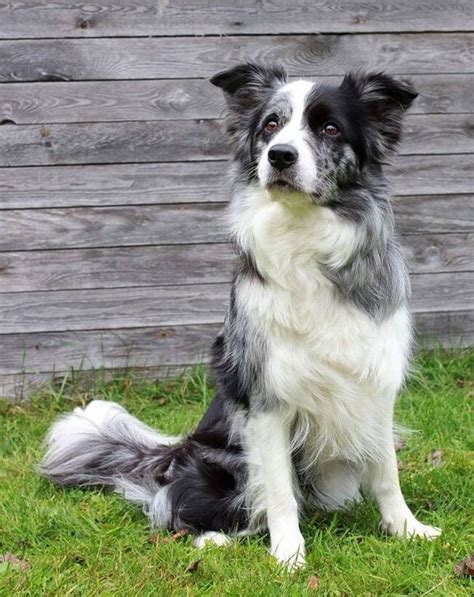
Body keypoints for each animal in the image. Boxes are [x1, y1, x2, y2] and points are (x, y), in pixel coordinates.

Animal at [40, 64, 440, 568]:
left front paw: (406, 529)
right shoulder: (266, 399)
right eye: (271, 124)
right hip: (216, 463)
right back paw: (214, 540)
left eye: (329, 128)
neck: (304, 235)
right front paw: (288, 556)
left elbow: (387, 471)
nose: (280, 155)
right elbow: (280, 490)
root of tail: (169, 456)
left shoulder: (374, 384)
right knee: (177, 509)